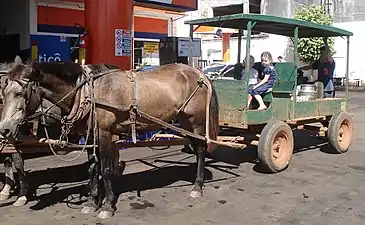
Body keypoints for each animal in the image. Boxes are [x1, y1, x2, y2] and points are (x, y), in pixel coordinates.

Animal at [0, 60, 219, 219]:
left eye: (19, 93)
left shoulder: (105, 133)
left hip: (197, 122)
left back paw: (197, 187)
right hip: (184, 121)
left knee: (201, 150)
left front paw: (107, 206)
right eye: (4, 93)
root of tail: (199, 73)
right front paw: (91, 202)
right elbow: (92, 168)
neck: (90, 92)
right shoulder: (91, 135)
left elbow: (105, 169)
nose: (5, 129)